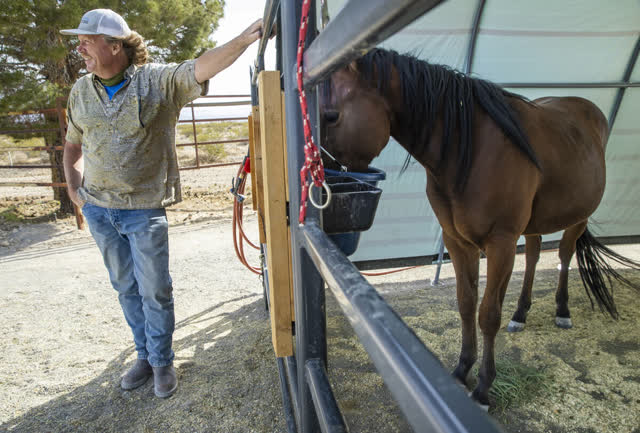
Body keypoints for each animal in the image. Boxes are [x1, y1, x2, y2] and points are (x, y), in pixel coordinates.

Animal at [319, 48, 640, 408]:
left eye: (330, 116)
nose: (320, 176)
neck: (469, 151)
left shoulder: (500, 244)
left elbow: (487, 314)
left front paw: (484, 387)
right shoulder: (457, 242)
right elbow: (465, 304)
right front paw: (462, 370)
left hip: (577, 219)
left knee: (564, 256)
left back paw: (562, 310)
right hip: (533, 226)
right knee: (532, 255)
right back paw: (520, 314)